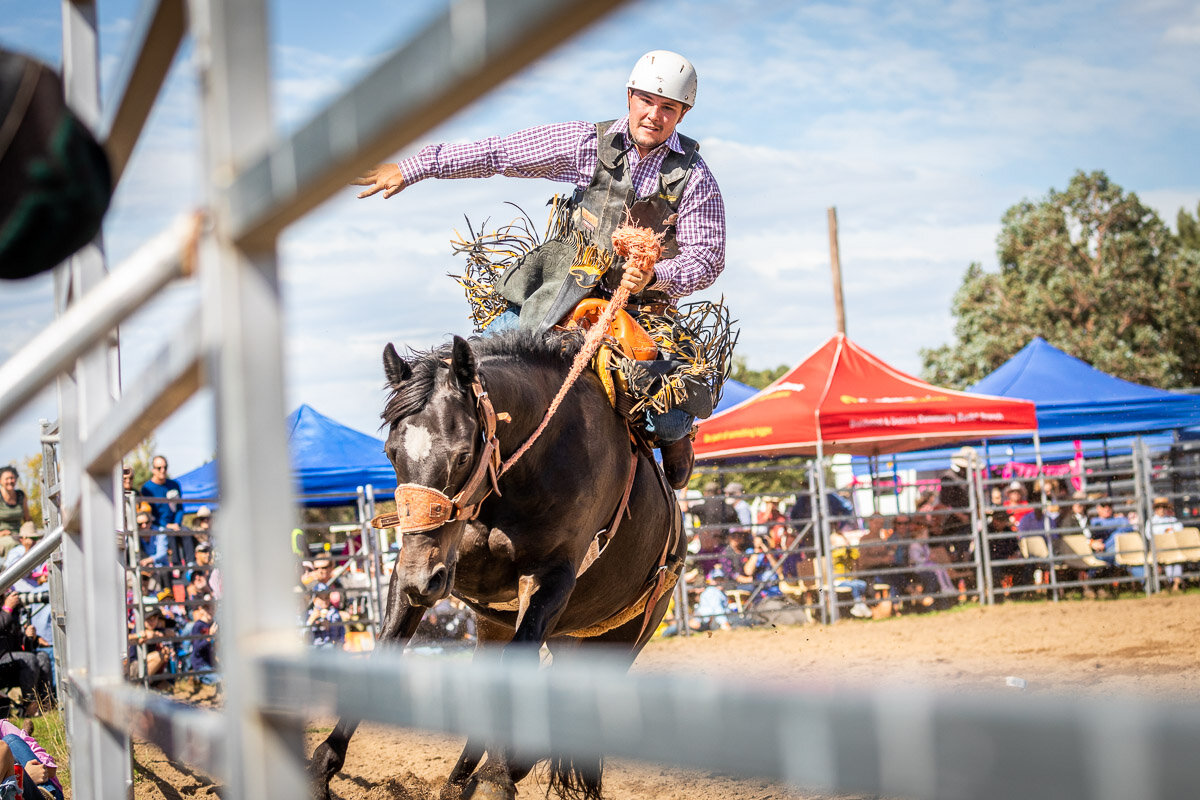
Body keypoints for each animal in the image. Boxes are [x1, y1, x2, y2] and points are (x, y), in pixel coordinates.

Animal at [309, 326, 686, 800]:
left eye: (462, 456)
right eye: (392, 453)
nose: (424, 579)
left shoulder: (548, 581)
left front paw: (495, 778)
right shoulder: (411, 573)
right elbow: (386, 648)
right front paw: (322, 766)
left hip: (617, 642)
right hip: (507, 629)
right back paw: (460, 781)